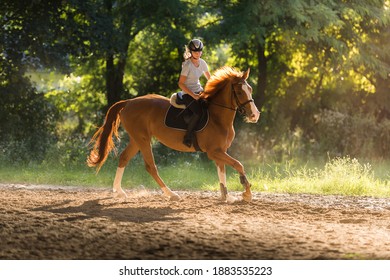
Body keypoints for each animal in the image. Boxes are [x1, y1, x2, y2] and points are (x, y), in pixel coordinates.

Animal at [87, 66, 260, 202]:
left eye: (250, 89)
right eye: (239, 91)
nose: (255, 115)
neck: (217, 117)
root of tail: (129, 102)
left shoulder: (220, 151)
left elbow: (222, 171)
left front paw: (226, 196)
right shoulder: (214, 151)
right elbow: (238, 164)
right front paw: (246, 192)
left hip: (136, 139)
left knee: (124, 157)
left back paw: (119, 191)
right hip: (143, 139)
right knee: (151, 166)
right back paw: (171, 194)